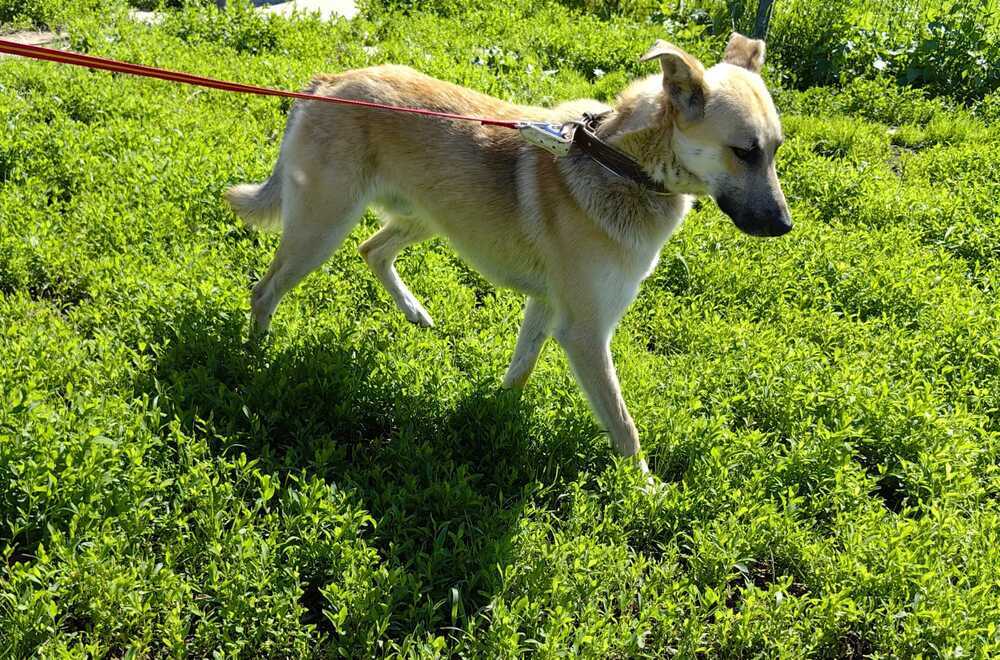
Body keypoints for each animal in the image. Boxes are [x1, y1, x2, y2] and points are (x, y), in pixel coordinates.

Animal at [225, 32, 788, 474]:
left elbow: (521, 368)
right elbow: (623, 425)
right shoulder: (585, 333)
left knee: (372, 249)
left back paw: (414, 311)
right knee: (264, 291)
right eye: (744, 152)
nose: (785, 225)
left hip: (424, 216)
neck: (619, 163)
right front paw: (646, 490)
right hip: (321, 229)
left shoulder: (547, 305)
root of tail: (328, 81)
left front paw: (493, 416)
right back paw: (255, 360)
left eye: (776, 149)